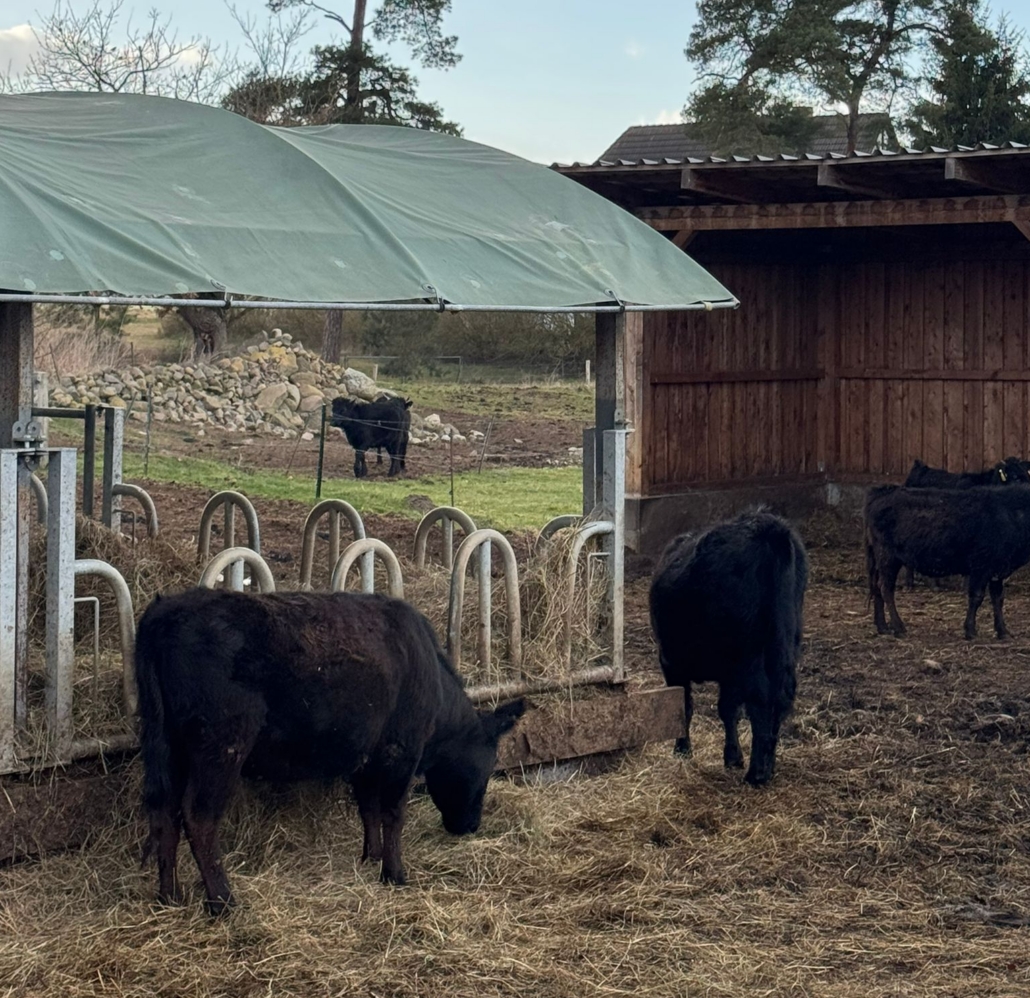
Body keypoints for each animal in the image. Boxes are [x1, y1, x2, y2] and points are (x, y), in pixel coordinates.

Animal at [135, 587, 525, 915]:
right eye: (488, 768)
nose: (471, 826)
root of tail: (166, 610)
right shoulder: (401, 751)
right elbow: (393, 813)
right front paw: (395, 874)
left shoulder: (366, 757)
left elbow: (368, 808)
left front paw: (371, 857)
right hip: (220, 746)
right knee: (198, 816)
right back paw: (223, 901)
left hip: (168, 746)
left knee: (164, 812)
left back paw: (169, 896)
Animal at [649, 511, 808, 787]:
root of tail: (769, 528)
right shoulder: (729, 673)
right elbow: (728, 708)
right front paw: (732, 757)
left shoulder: (671, 662)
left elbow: (684, 707)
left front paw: (682, 750)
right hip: (782, 645)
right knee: (779, 699)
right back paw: (768, 766)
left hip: (749, 655)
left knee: (761, 700)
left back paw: (757, 773)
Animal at [866, 484, 1030, 640]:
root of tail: (884, 491)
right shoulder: (980, 567)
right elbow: (976, 597)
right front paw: (970, 630)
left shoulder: (998, 570)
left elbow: (998, 599)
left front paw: (1003, 631)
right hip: (887, 557)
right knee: (886, 589)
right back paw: (898, 628)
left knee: (877, 587)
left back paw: (883, 627)